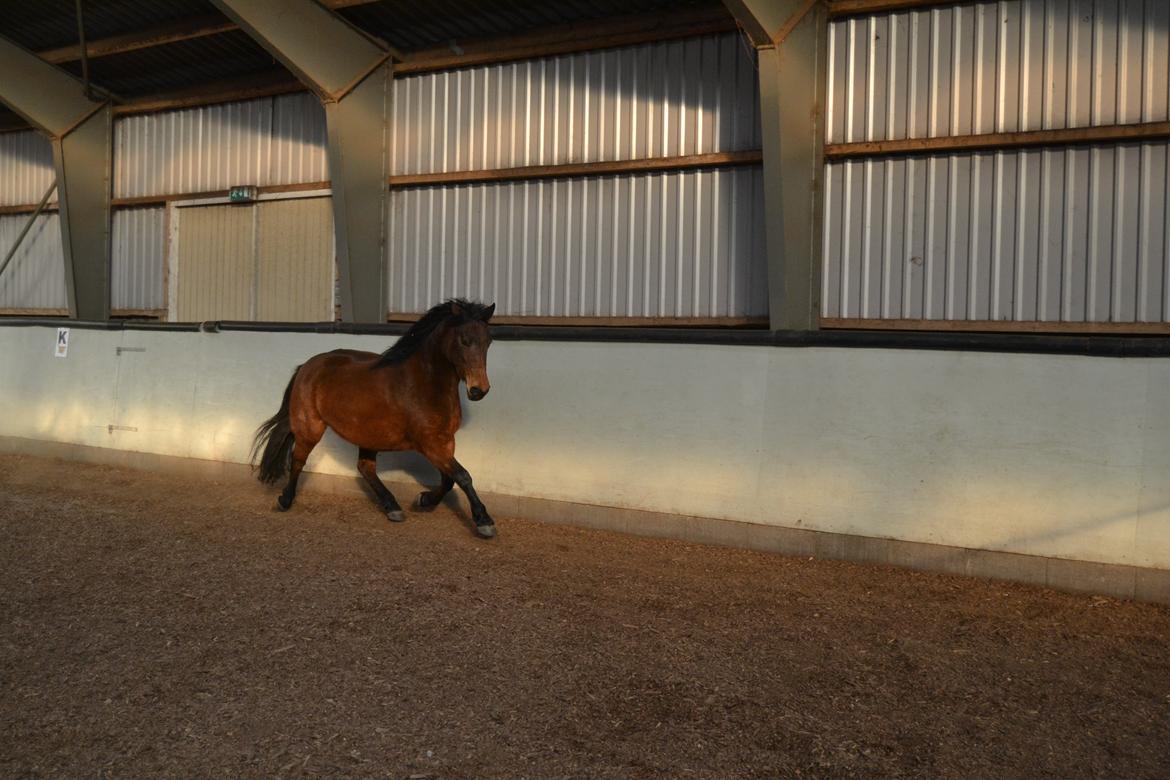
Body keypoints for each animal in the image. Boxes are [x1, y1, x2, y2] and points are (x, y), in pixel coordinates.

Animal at [251, 295, 498, 540]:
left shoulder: (445, 442)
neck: (424, 385)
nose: (479, 390)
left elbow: (449, 479)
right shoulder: (430, 444)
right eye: (464, 340)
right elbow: (462, 476)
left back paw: (393, 507)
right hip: (311, 427)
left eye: (488, 342)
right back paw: (285, 500)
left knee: (365, 467)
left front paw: (424, 500)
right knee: (298, 460)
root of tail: (307, 366)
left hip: (368, 434)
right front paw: (484, 522)